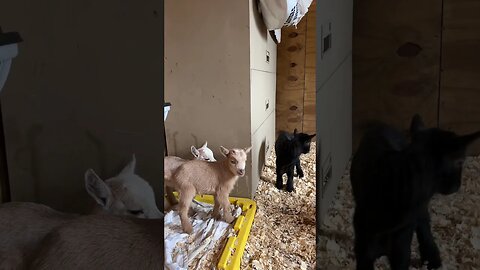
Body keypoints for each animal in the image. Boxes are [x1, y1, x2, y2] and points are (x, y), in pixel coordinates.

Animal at [348, 114, 480, 270]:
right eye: (460, 162)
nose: (457, 185)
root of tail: (383, 126)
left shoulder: (404, 231)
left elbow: (402, 257)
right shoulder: (363, 230)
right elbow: (365, 257)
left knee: (424, 224)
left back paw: (432, 260)